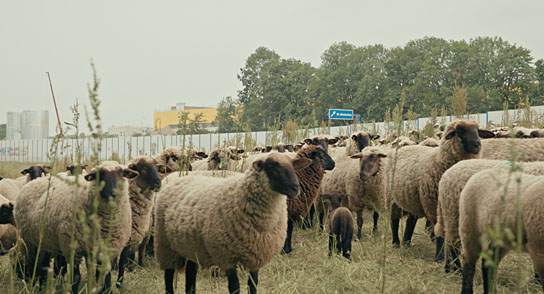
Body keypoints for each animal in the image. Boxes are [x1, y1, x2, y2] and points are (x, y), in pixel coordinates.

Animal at [155, 153, 312, 292]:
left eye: (293, 166)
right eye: (273, 167)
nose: (295, 188)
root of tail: (176, 177)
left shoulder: (257, 255)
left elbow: (253, 286)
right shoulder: (227, 257)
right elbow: (234, 287)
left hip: (191, 245)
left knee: (190, 272)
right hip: (165, 244)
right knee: (168, 276)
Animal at [384, 120, 496, 248]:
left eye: (477, 130)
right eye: (460, 130)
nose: (477, 145)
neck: (439, 160)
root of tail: (403, 147)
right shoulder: (433, 204)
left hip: (413, 198)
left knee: (411, 221)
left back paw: (406, 242)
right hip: (391, 198)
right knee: (394, 221)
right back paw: (396, 243)